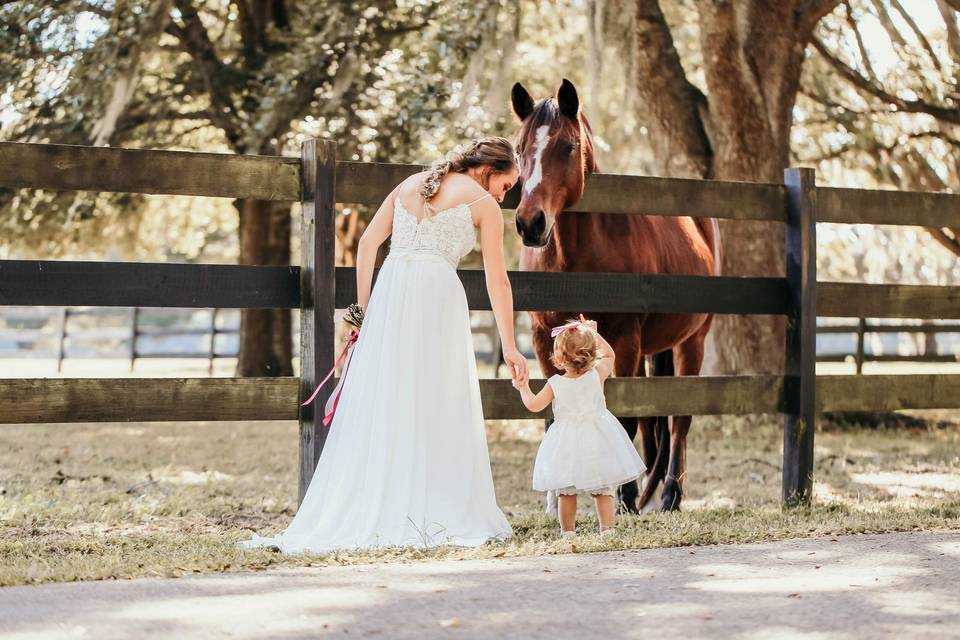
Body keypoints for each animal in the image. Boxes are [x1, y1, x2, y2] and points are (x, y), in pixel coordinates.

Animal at [510, 79, 720, 510]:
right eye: (520, 149)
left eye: (568, 146)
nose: (530, 223)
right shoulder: (543, 340)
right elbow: (554, 415)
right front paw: (556, 498)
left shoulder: (622, 339)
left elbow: (625, 416)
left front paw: (623, 495)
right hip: (651, 351)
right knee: (656, 420)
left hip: (691, 341)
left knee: (679, 420)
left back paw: (670, 494)